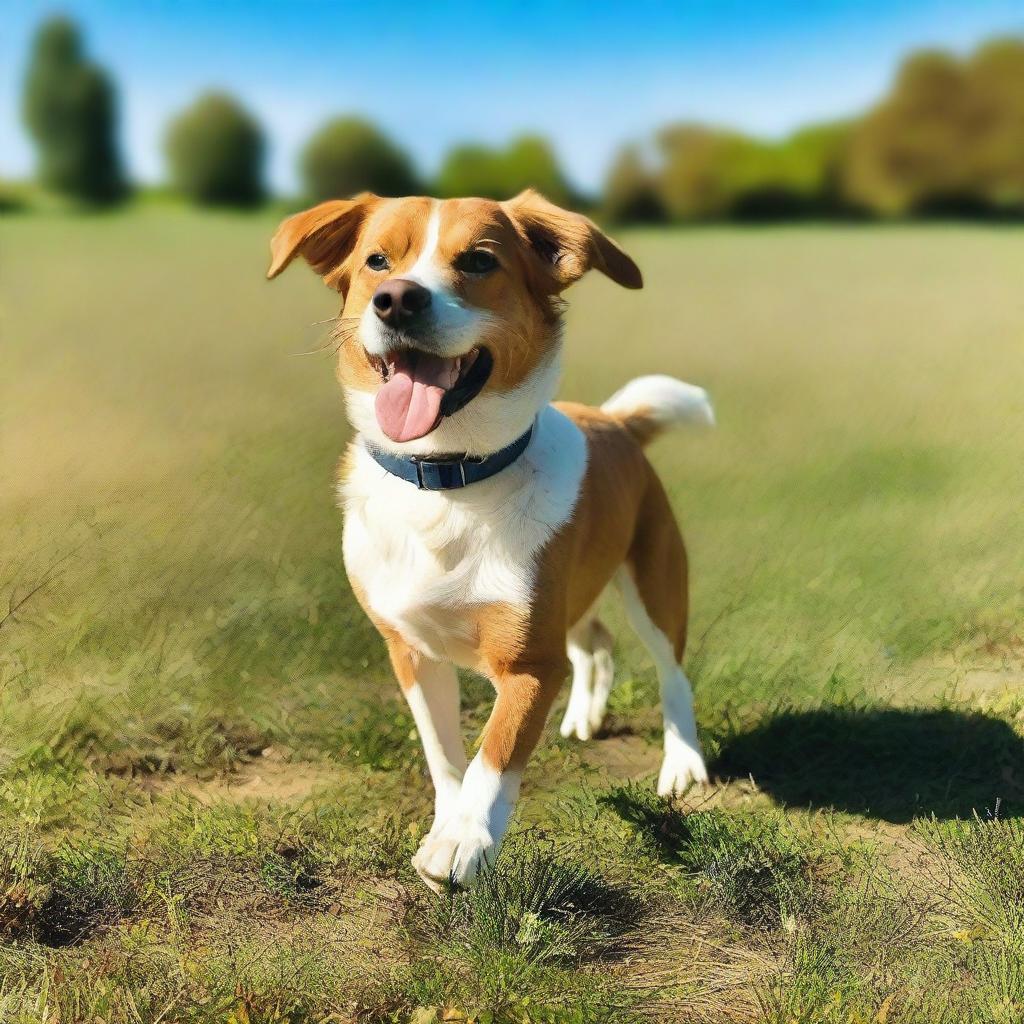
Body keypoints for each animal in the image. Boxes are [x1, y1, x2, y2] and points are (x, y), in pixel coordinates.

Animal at [266, 190, 712, 888]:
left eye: (479, 261)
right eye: (376, 260)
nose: (396, 299)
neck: (447, 479)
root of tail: (614, 420)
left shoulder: (529, 664)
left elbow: (494, 750)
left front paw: (465, 839)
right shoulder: (410, 651)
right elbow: (444, 753)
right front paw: (448, 820)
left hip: (654, 582)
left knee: (672, 674)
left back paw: (682, 764)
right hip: (572, 591)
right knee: (595, 641)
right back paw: (583, 716)